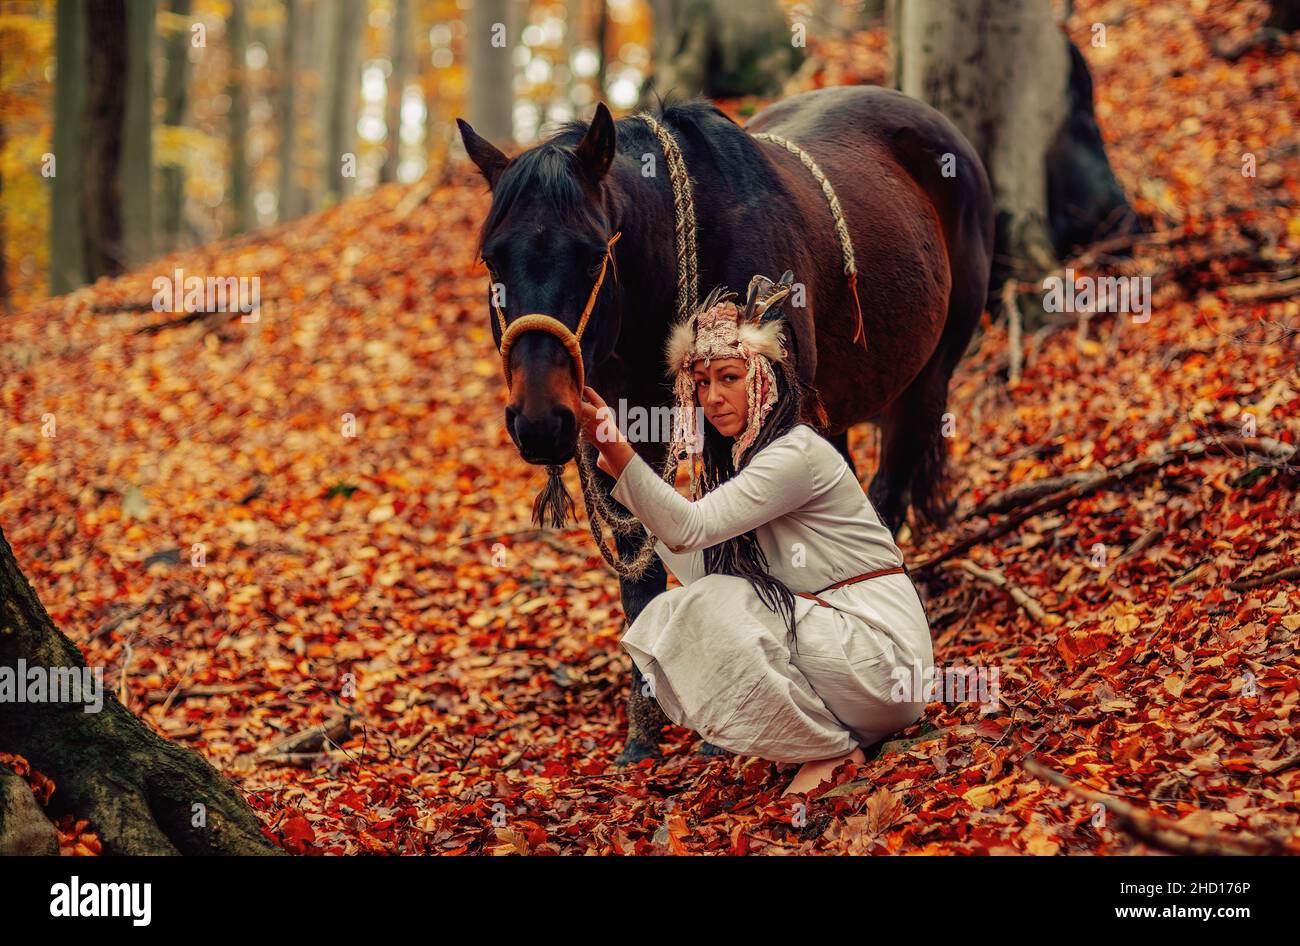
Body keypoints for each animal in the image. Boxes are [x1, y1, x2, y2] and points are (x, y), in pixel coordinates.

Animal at [460, 87, 993, 769]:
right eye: (492, 259)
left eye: (592, 253)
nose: (541, 420)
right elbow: (640, 578)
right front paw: (644, 732)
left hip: (929, 375)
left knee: (889, 491)